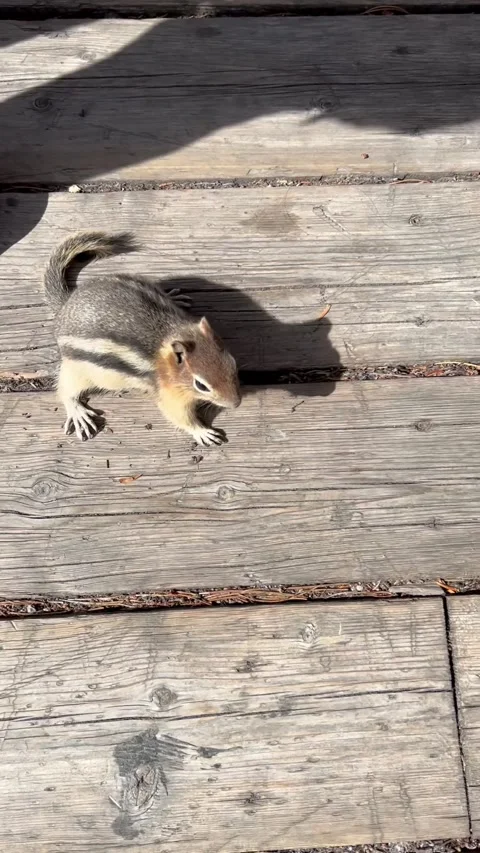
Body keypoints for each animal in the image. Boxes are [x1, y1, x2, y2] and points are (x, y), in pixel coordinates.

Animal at [44, 231, 241, 445]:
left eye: (232, 363)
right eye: (201, 385)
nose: (236, 403)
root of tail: (66, 303)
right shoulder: (168, 393)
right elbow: (178, 415)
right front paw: (202, 432)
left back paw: (173, 297)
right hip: (77, 369)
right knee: (67, 389)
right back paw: (77, 412)